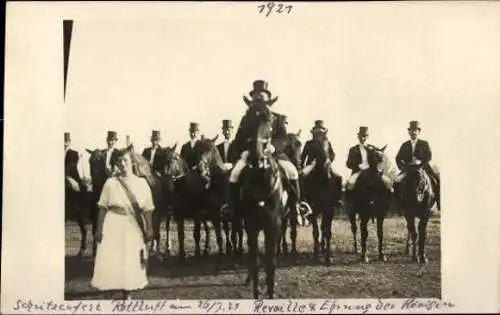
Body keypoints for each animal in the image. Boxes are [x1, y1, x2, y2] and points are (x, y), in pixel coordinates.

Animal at [239, 102, 290, 300]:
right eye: (247, 117)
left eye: (269, 118)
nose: (256, 156)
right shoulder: (251, 225)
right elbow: (254, 259)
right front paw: (256, 292)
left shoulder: (273, 224)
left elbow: (270, 261)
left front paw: (270, 292)